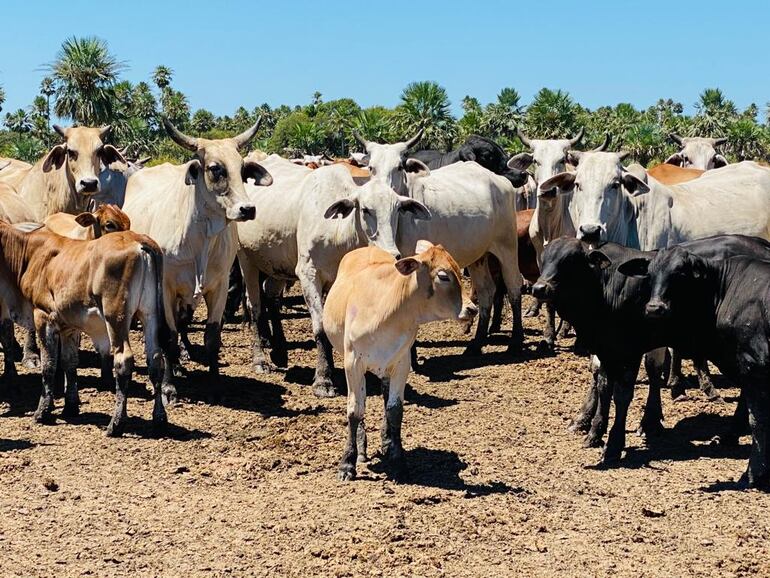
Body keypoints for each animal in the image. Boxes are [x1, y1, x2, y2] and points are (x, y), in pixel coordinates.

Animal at [0, 220, 173, 432]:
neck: (29, 254)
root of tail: (139, 240)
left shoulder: (43, 316)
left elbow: (49, 365)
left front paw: (42, 412)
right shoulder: (68, 326)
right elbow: (69, 362)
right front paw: (70, 407)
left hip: (116, 317)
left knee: (124, 360)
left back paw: (116, 423)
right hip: (150, 314)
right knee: (155, 360)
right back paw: (159, 419)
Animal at [122, 117, 270, 378]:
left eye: (242, 169)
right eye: (215, 168)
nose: (247, 209)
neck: (201, 240)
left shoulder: (220, 286)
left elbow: (212, 335)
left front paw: (213, 376)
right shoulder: (166, 288)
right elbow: (169, 335)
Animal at [320, 241, 474, 480]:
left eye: (459, 271)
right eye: (443, 276)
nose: (472, 309)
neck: (386, 313)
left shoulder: (402, 362)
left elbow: (394, 410)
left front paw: (398, 460)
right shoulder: (353, 363)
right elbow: (355, 410)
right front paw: (347, 464)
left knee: (385, 397)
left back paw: (387, 441)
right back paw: (362, 450)